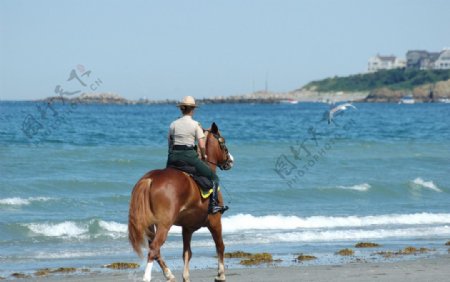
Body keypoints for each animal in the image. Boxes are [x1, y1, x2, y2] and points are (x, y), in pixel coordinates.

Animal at [126, 123, 232, 282]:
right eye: (223, 142)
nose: (230, 160)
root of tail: (150, 179)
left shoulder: (187, 228)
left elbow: (187, 252)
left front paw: (186, 276)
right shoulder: (215, 221)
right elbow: (220, 246)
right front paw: (221, 274)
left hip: (151, 224)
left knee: (155, 250)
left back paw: (169, 274)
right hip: (164, 224)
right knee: (154, 249)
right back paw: (147, 277)